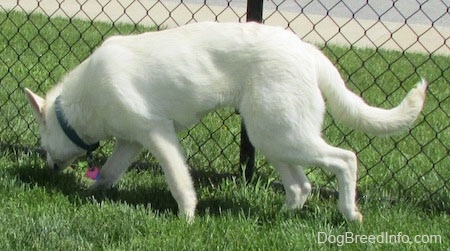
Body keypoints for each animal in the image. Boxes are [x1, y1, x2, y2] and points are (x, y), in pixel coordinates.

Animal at [23, 22, 426, 222]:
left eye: (43, 143)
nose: (49, 168)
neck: (78, 105)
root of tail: (308, 51)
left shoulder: (159, 134)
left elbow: (179, 183)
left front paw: (186, 220)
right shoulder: (131, 142)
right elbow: (108, 174)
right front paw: (92, 194)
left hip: (284, 137)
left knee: (346, 159)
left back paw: (350, 213)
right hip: (273, 136)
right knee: (301, 187)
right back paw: (279, 218)